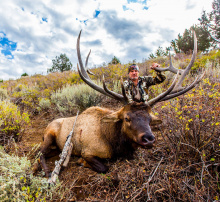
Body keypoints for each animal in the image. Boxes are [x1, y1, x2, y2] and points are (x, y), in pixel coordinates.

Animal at [33, 30, 205, 177]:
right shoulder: (88, 151)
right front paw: (81, 163)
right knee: (40, 154)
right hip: (49, 135)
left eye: (149, 119)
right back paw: (47, 171)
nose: (149, 138)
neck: (114, 143)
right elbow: (104, 167)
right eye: (127, 118)